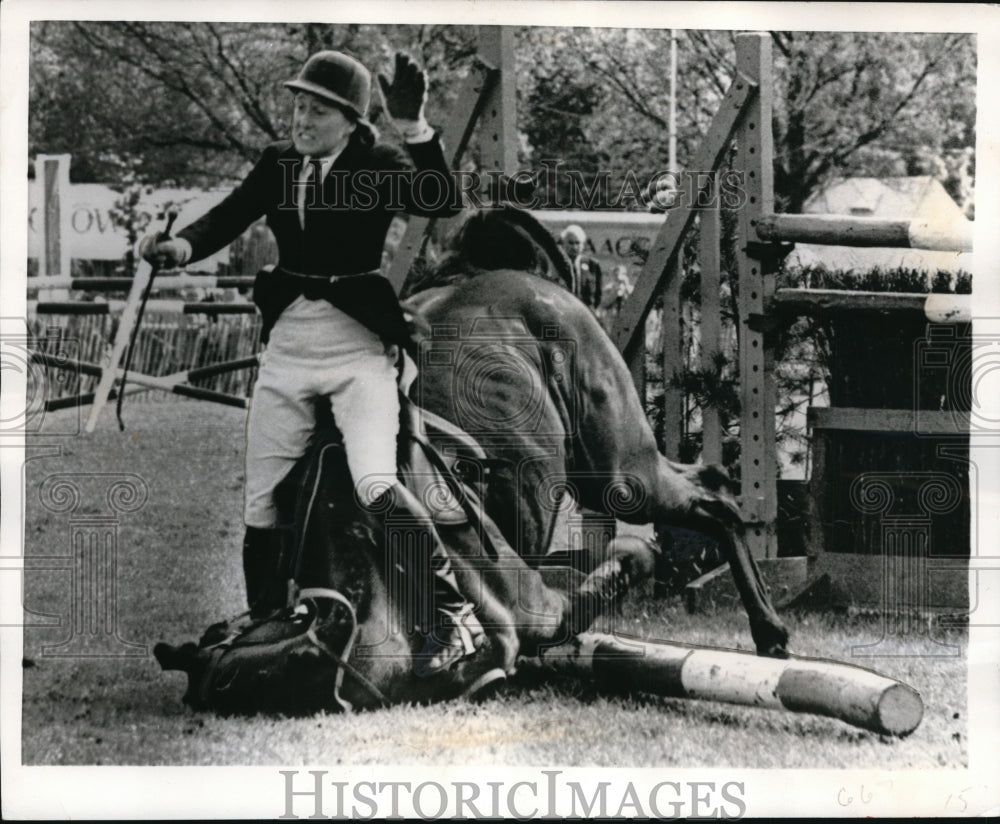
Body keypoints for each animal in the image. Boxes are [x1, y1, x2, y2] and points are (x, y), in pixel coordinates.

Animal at [152, 206, 788, 716]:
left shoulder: (536, 608)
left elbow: (618, 567)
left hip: (618, 471)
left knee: (713, 499)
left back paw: (770, 629)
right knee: (710, 486)